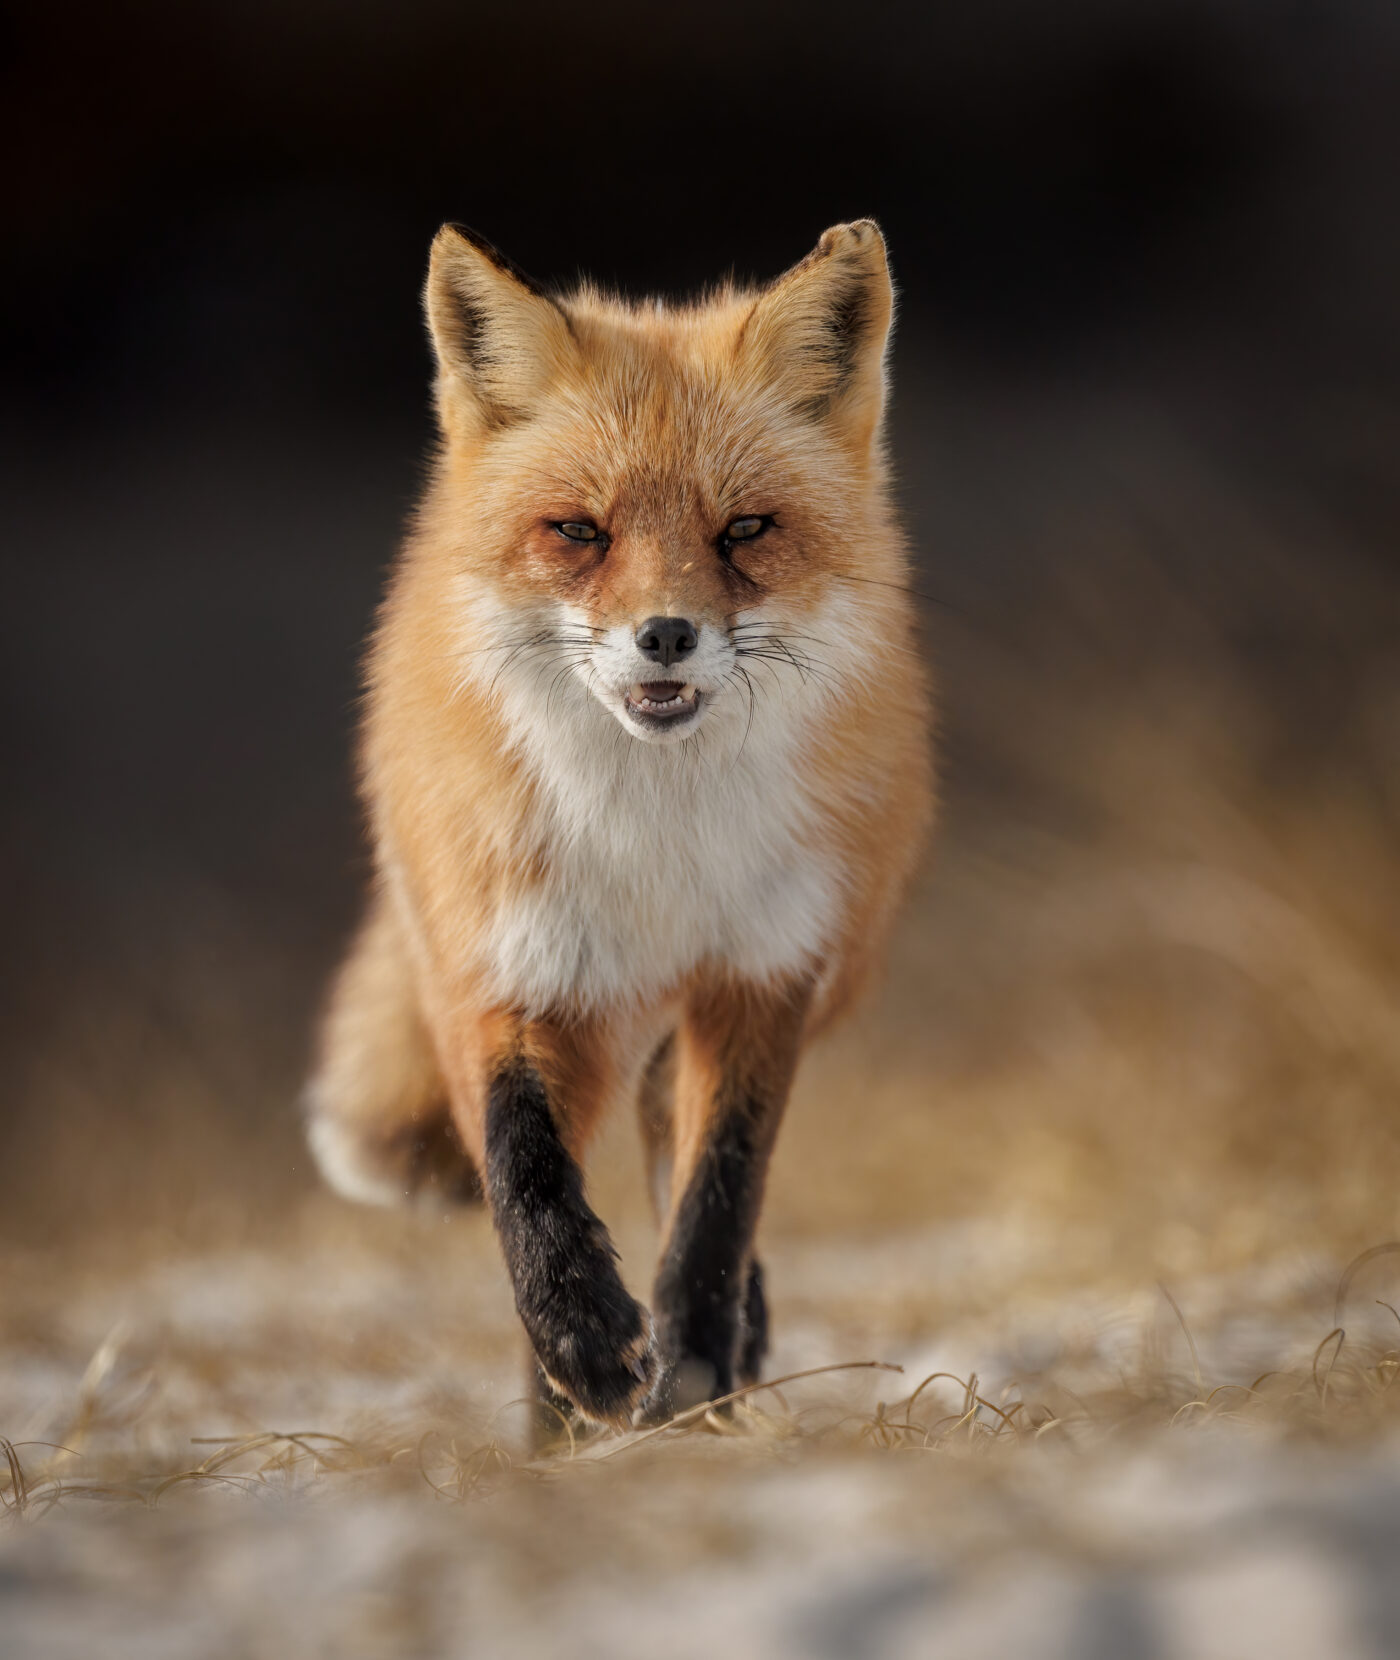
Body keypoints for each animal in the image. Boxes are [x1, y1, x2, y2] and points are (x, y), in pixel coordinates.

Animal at [305, 218, 934, 1431]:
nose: (665, 635)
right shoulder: (506, 966)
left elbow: (718, 1198)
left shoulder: (762, 975)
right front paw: (585, 1343)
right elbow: (524, 1170)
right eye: (579, 533)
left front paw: (692, 1368)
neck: (656, 847)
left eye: (744, 530)